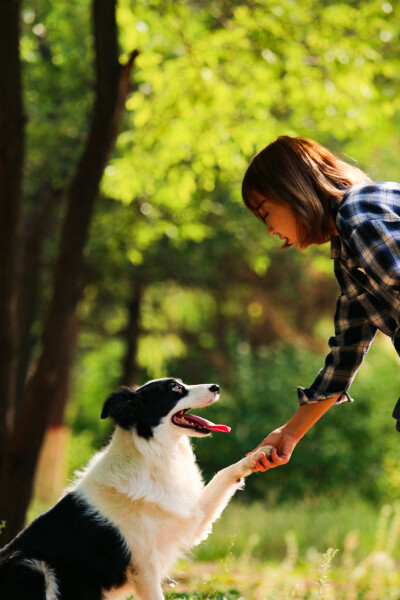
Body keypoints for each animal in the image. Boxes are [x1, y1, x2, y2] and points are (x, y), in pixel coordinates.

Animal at [0, 378, 272, 596]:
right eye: (175, 388)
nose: (216, 387)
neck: (154, 457)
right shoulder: (145, 569)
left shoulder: (192, 518)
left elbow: (224, 474)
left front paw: (262, 452)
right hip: (32, 565)